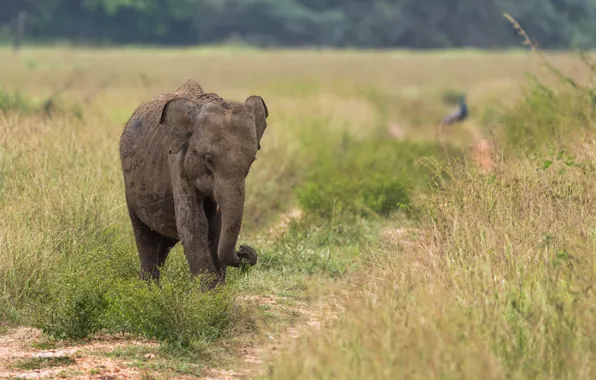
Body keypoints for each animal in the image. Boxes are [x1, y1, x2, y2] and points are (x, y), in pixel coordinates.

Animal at [118, 81, 268, 288]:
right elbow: (193, 222)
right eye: (209, 160)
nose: (244, 250)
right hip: (130, 188)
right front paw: (210, 293)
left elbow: (215, 227)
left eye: (252, 160)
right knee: (145, 237)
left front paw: (218, 290)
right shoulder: (177, 160)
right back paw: (148, 290)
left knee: (163, 244)